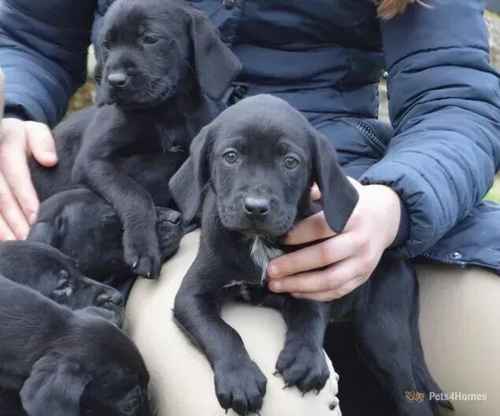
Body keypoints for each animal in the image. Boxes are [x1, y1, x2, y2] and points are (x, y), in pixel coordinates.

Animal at [172, 95, 450, 416]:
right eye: (230, 156)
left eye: (290, 162)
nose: (256, 207)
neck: (259, 242)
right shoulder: (191, 295)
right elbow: (219, 330)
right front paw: (239, 377)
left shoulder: (314, 277)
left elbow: (310, 313)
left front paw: (304, 358)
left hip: (383, 331)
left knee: (410, 393)